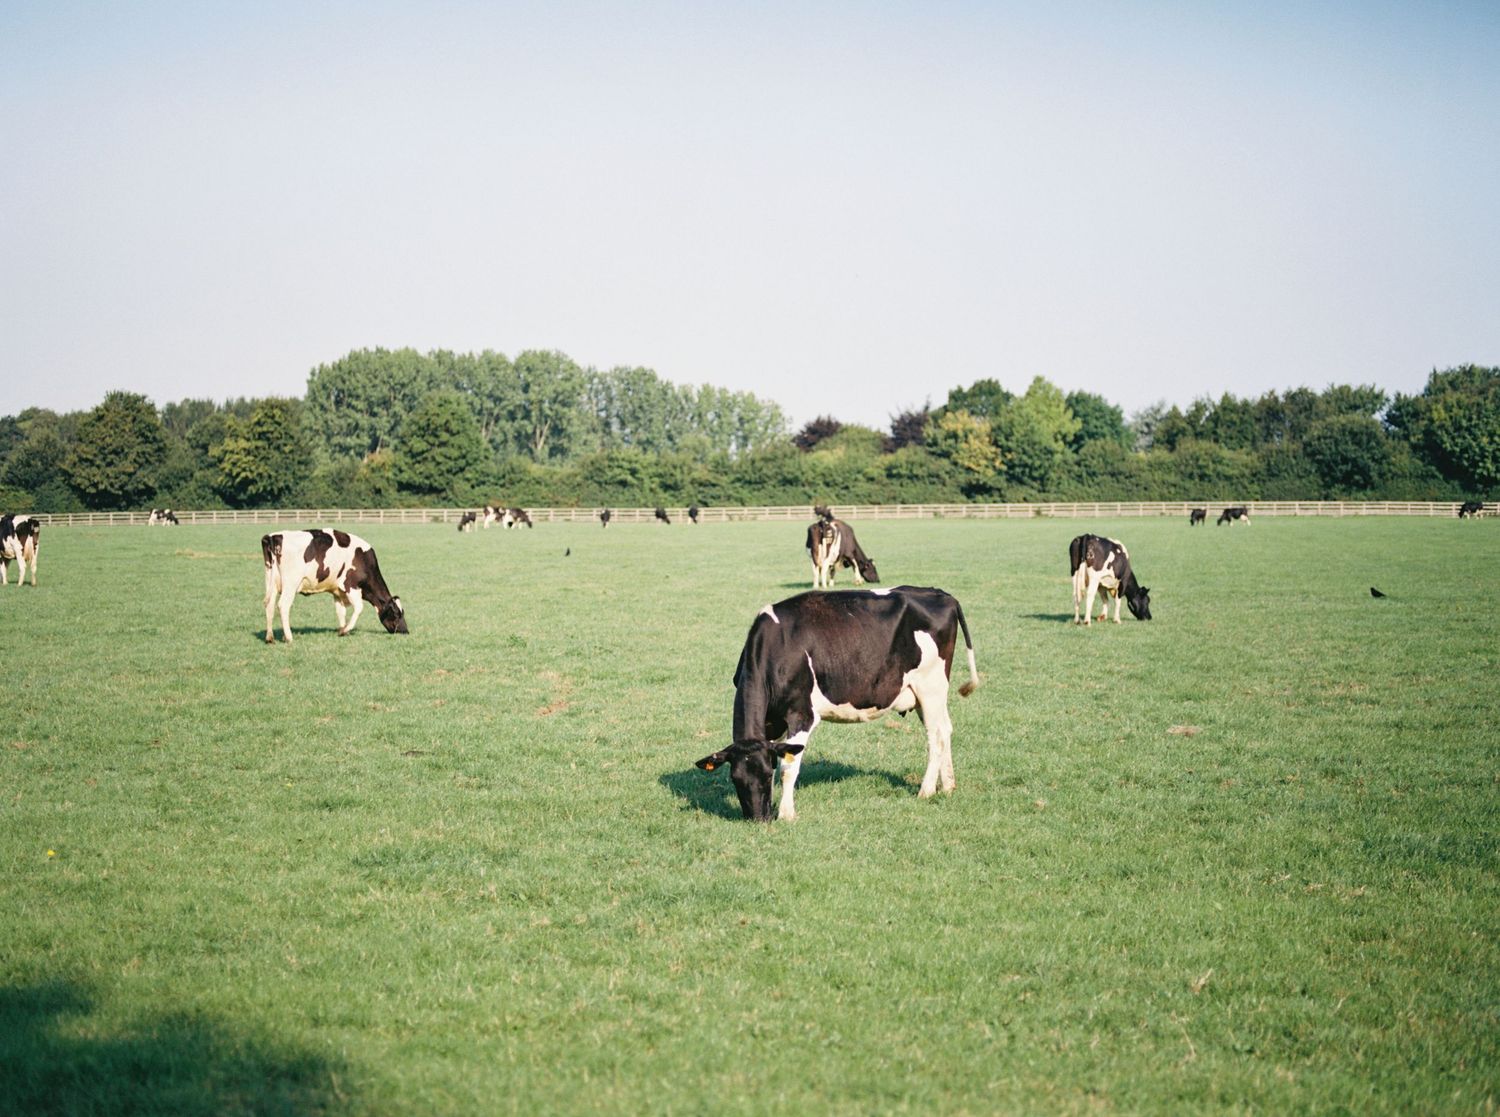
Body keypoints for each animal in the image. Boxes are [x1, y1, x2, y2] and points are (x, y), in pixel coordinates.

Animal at [262, 529, 407, 644]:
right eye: (396, 613)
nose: (405, 631)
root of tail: (274, 536)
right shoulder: (351, 586)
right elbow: (359, 608)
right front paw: (345, 630)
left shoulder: (338, 591)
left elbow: (340, 612)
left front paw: (343, 630)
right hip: (291, 583)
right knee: (283, 606)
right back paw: (289, 637)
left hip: (271, 582)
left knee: (269, 605)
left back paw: (270, 638)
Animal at [695, 587, 978, 822]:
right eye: (735, 779)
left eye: (765, 775)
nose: (757, 819)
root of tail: (939, 594)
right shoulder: (772, 722)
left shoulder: (802, 714)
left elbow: (789, 767)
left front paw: (786, 814)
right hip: (928, 694)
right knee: (946, 729)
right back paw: (948, 786)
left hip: (930, 686)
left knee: (936, 736)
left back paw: (926, 790)